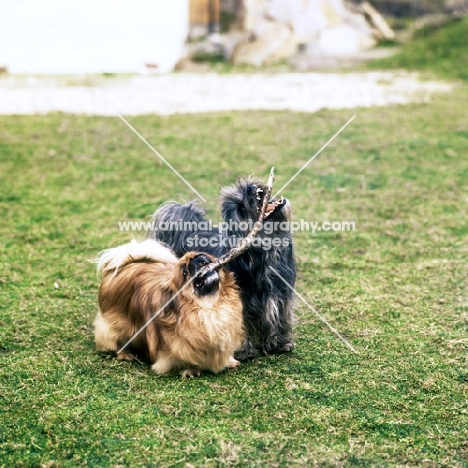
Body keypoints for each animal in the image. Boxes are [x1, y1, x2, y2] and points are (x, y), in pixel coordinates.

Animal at [92, 239, 245, 378]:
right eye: (184, 272)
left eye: (201, 254)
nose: (196, 258)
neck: (210, 308)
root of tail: (129, 262)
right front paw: (190, 370)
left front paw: (229, 361)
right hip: (115, 327)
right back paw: (125, 354)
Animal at [147, 176, 296, 362]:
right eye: (241, 209)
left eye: (242, 190)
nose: (249, 188)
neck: (265, 254)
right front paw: (243, 351)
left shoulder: (280, 295)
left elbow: (280, 318)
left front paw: (279, 343)